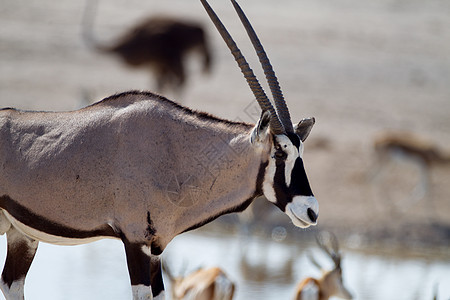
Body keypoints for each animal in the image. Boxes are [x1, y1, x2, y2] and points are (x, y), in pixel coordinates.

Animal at [82, 0, 213, 92]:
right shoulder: (156, 65)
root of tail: (199, 30)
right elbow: (160, 84)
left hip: (173, 61)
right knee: (177, 82)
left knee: (181, 82)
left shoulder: (163, 62)